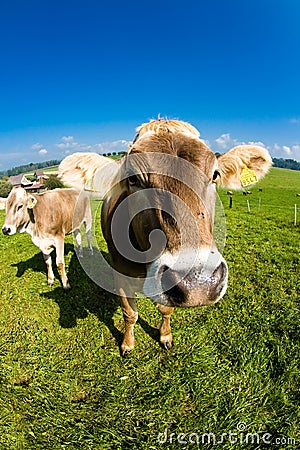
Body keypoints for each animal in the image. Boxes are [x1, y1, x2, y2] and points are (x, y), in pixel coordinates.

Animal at [58, 119, 272, 356]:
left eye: (215, 174)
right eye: (133, 178)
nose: (199, 284)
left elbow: (165, 309)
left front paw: (165, 336)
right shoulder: (120, 274)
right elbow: (129, 313)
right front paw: (127, 343)